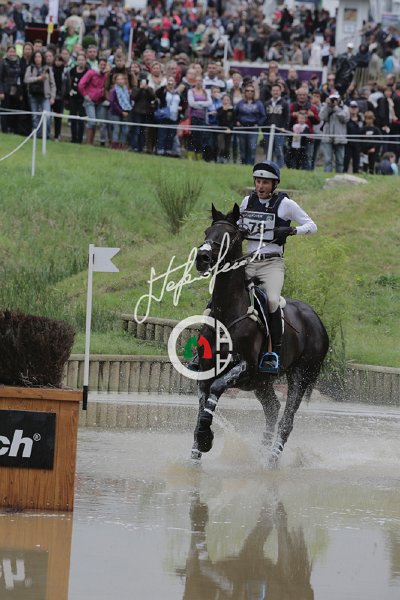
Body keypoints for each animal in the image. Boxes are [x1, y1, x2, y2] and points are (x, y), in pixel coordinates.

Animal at [191, 203, 329, 466]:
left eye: (230, 235)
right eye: (206, 232)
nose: (202, 258)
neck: (228, 311)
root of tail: (317, 320)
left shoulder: (245, 367)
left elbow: (216, 389)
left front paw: (205, 439)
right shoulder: (206, 368)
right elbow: (203, 405)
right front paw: (195, 455)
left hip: (300, 375)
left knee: (286, 420)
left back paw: (271, 461)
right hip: (262, 382)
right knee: (272, 409)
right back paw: (262, 452)